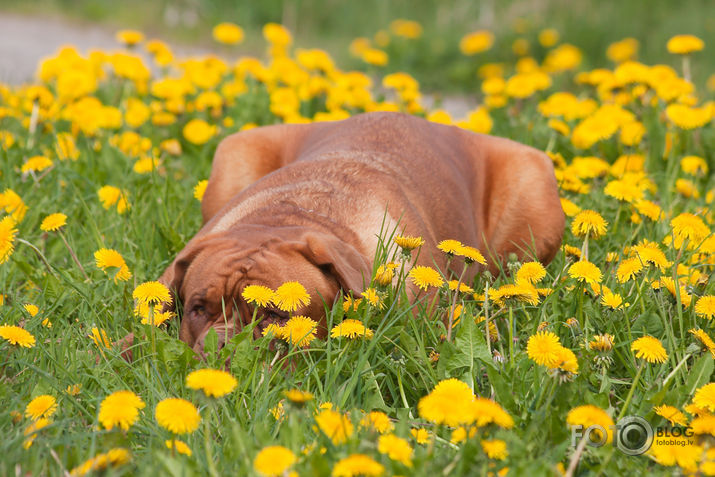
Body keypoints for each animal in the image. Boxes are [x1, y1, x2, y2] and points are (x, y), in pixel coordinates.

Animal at [127, 112, 564, 356]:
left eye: (274, 316)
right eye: (198, 309)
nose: (223, 346)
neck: (290, 216)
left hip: (534, 179)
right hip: (237, 150)